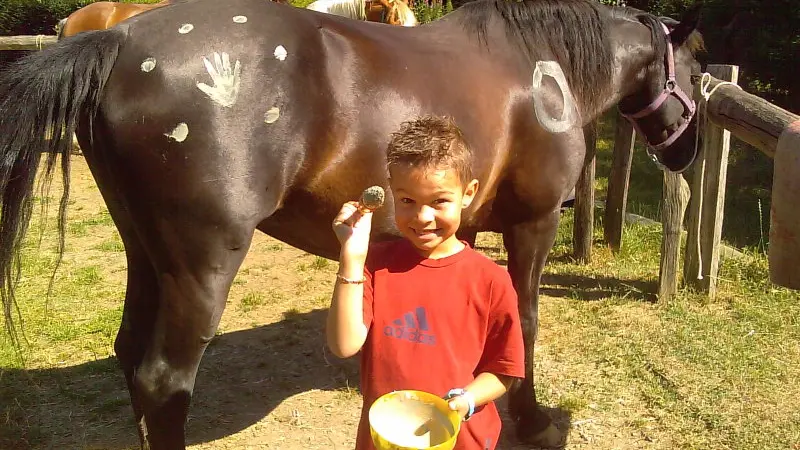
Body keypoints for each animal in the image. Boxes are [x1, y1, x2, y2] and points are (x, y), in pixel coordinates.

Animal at [0, 0, 700, 448]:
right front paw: (533, 422)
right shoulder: (533, 224)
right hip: (202, 266)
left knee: (128, 353)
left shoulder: (469, 227)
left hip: (145, 253)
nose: (685, 153)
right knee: (163, 382)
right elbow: (524, 322)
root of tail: (118, 41)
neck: (541, 66)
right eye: (695, 72)